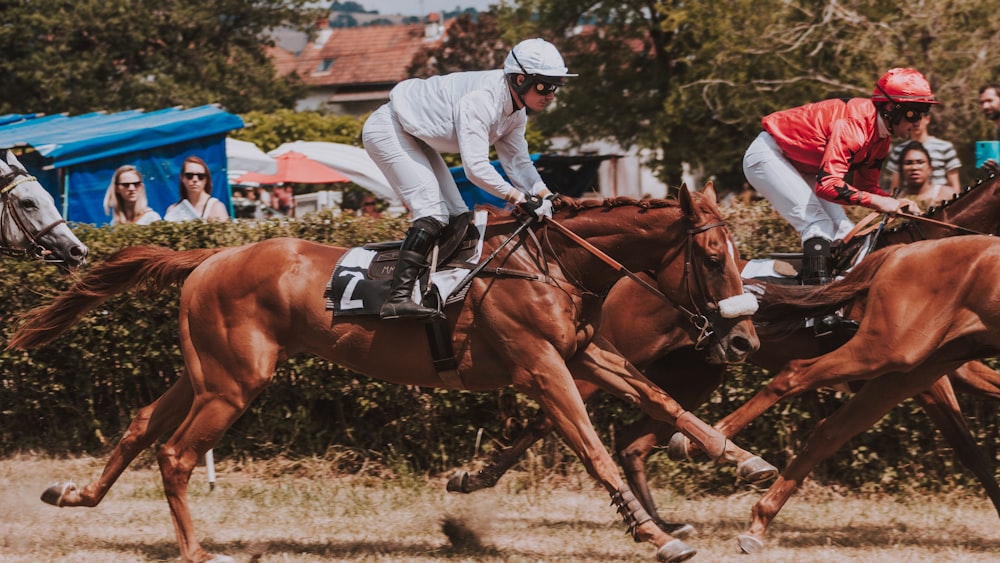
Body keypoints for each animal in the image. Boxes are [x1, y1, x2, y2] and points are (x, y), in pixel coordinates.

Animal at [7, 187, 760, 560]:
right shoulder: (543, 368)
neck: (549, 262)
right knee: (176, 453)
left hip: (207, 372)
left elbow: (661, 397)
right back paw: (196, 553)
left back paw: (75, 493)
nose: (744, 336)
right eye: (712, 256)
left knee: (141, 425)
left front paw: (742, 456)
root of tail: (207, 258)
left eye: (737, 252)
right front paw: (655, 536)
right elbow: (594, 449)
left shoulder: (580, 353)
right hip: (235, 380)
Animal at [450, 171, 1000, 532]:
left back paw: (663, 521)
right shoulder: (923, 373)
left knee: (634, 440)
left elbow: (973, 438)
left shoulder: (948, 365)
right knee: (551, 419)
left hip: (694, 373)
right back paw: (475, 480)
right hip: (618, 358)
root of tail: (621, 278)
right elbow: (968, 446)